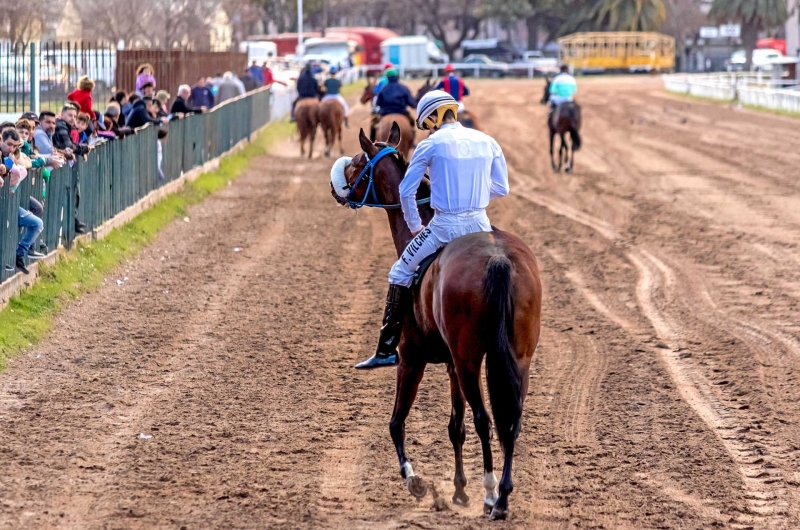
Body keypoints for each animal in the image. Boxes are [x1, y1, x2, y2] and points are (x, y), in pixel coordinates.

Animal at [326, 121, 544, 516]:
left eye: (358, 162)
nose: (337, 185)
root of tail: (498, 260)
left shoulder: (412, 358)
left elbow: (396, 422)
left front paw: (415, 481)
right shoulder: (451, 365)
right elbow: (454, 426)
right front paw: (459, 490)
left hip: (470, 359)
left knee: (484, 418)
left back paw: (492, 494)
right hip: (518, 357)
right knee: (511, 420)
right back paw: (503, 495)